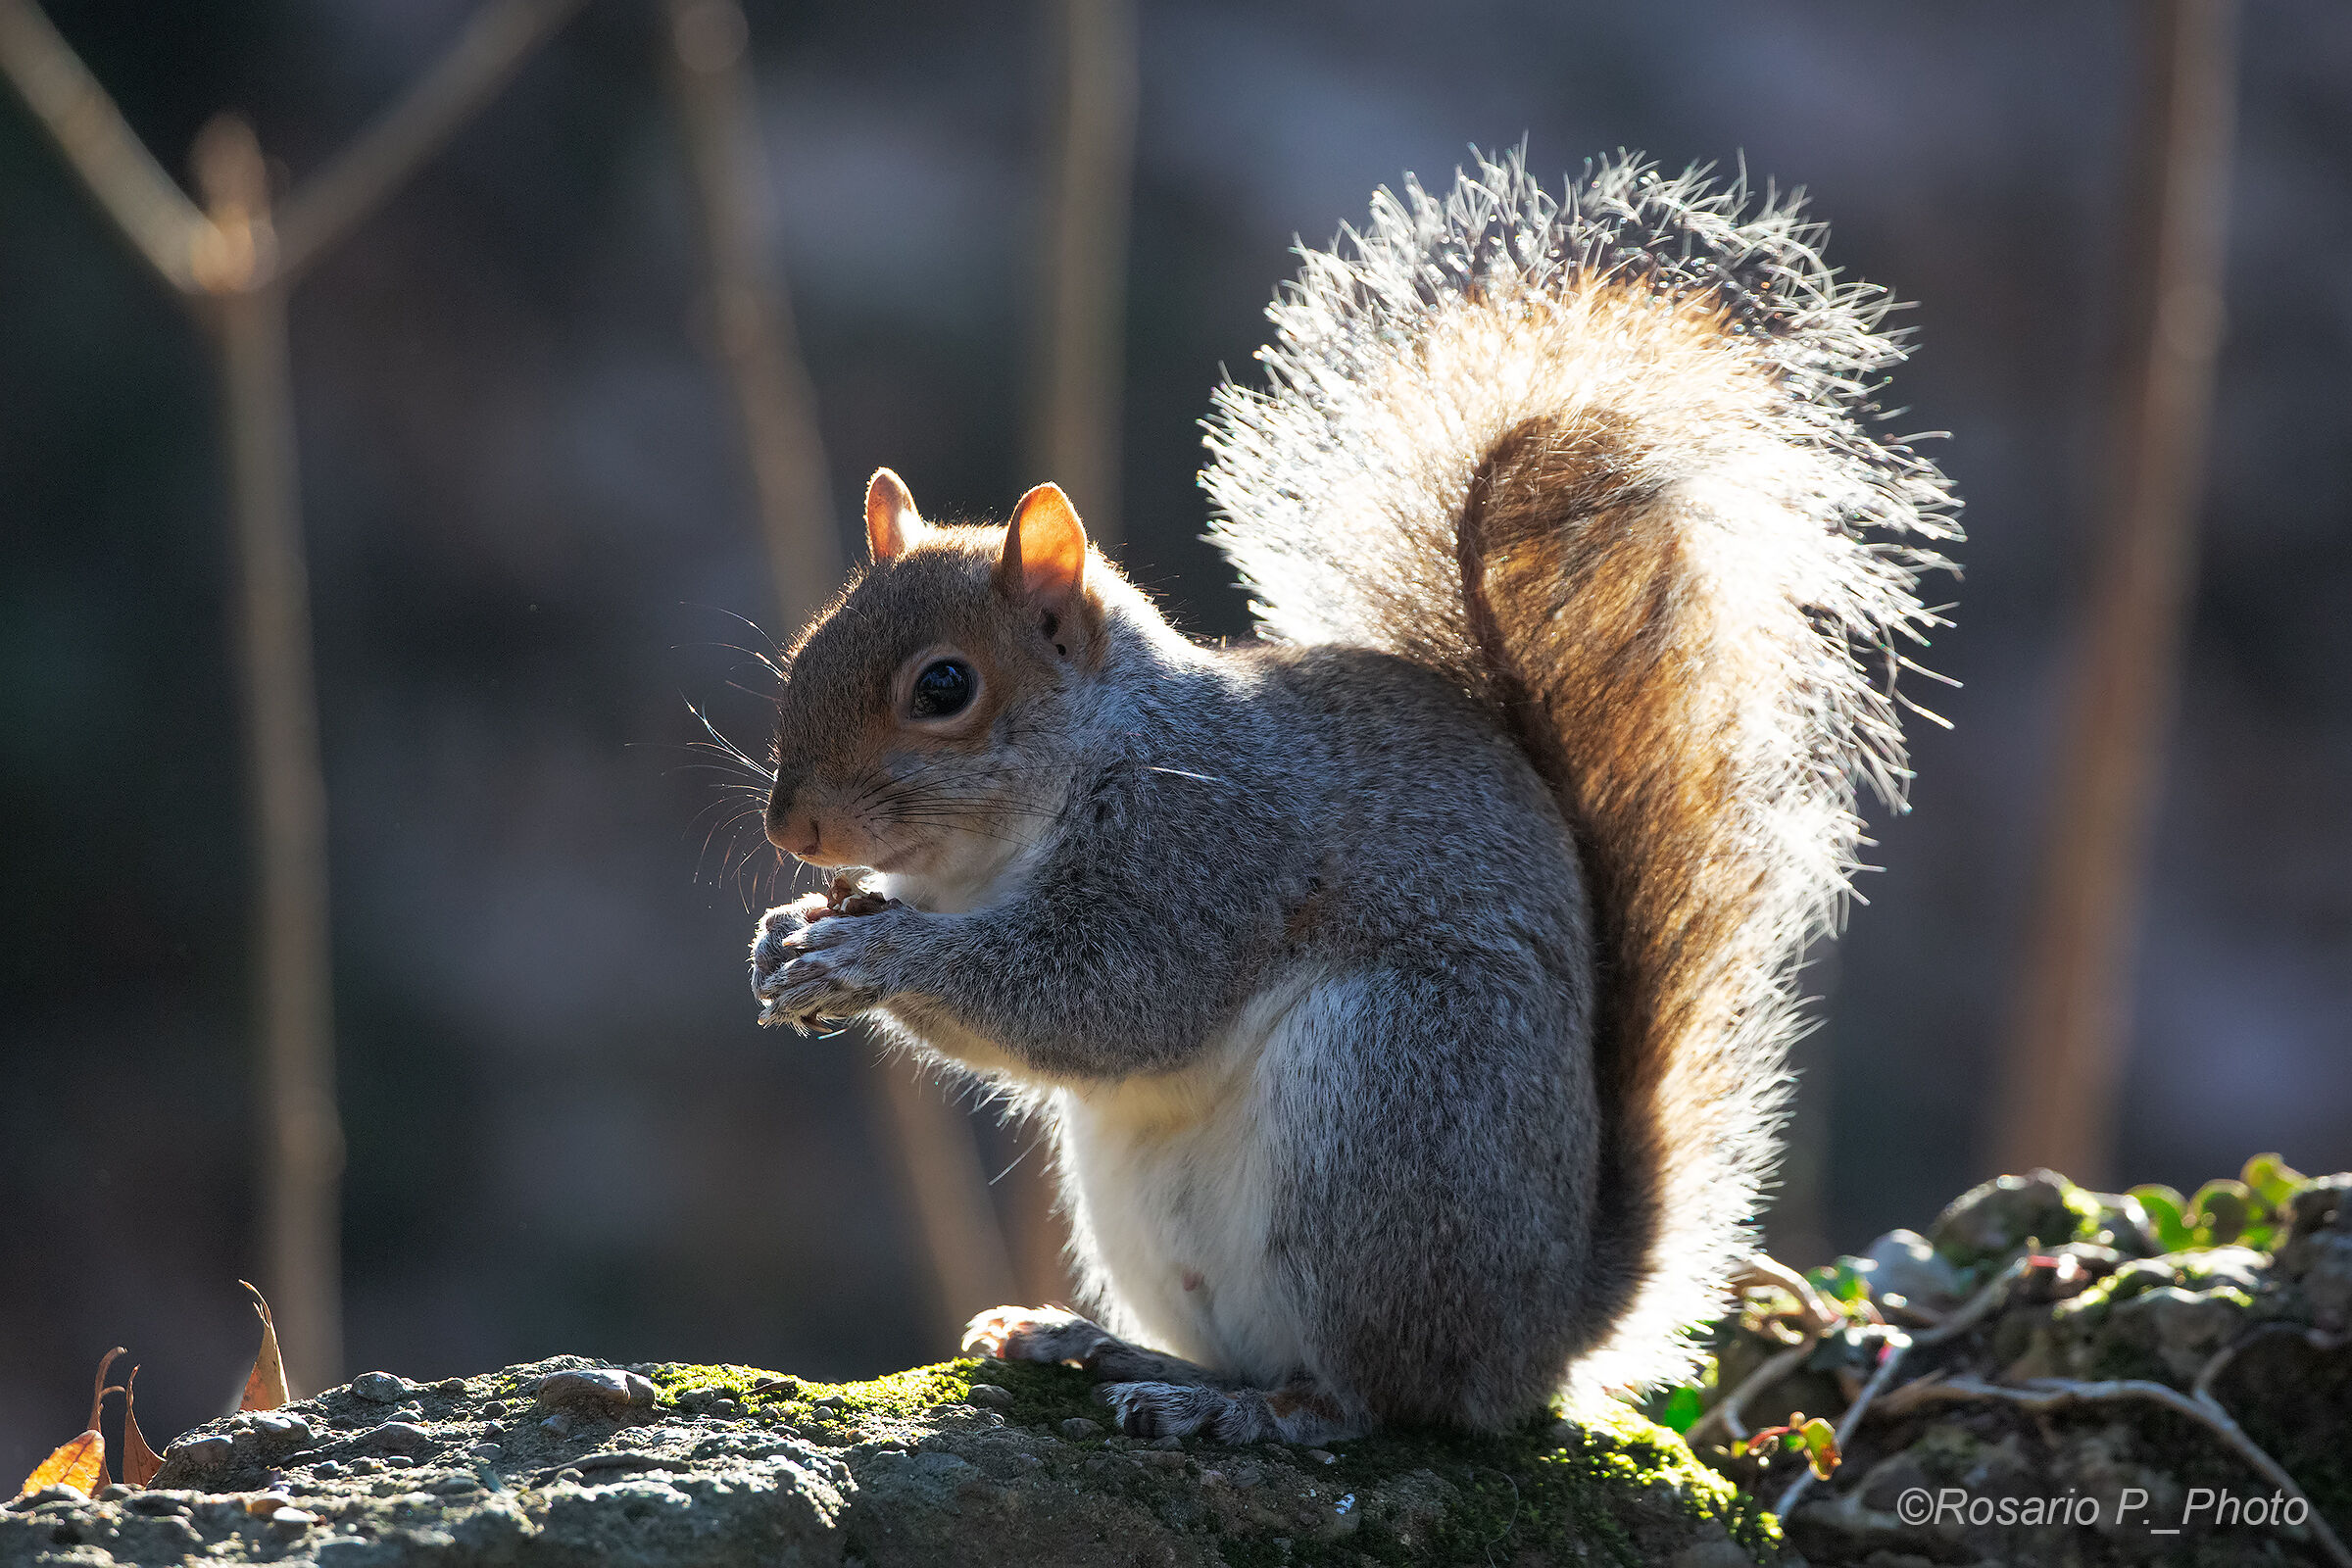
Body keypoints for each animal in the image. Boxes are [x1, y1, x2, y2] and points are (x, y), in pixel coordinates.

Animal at [747, 149, 1958, 1444]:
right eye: (807, 650)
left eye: (945, 686)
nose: (792, 827)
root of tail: (1541, 1336)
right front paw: (788, 936)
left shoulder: (1209, 841)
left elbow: (1111, 996)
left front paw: (873, 957)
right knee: (1246, 1350)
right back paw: (1101, 1347)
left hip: (1384, 1105)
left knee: (1375, 1397)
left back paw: (1255, 1413)